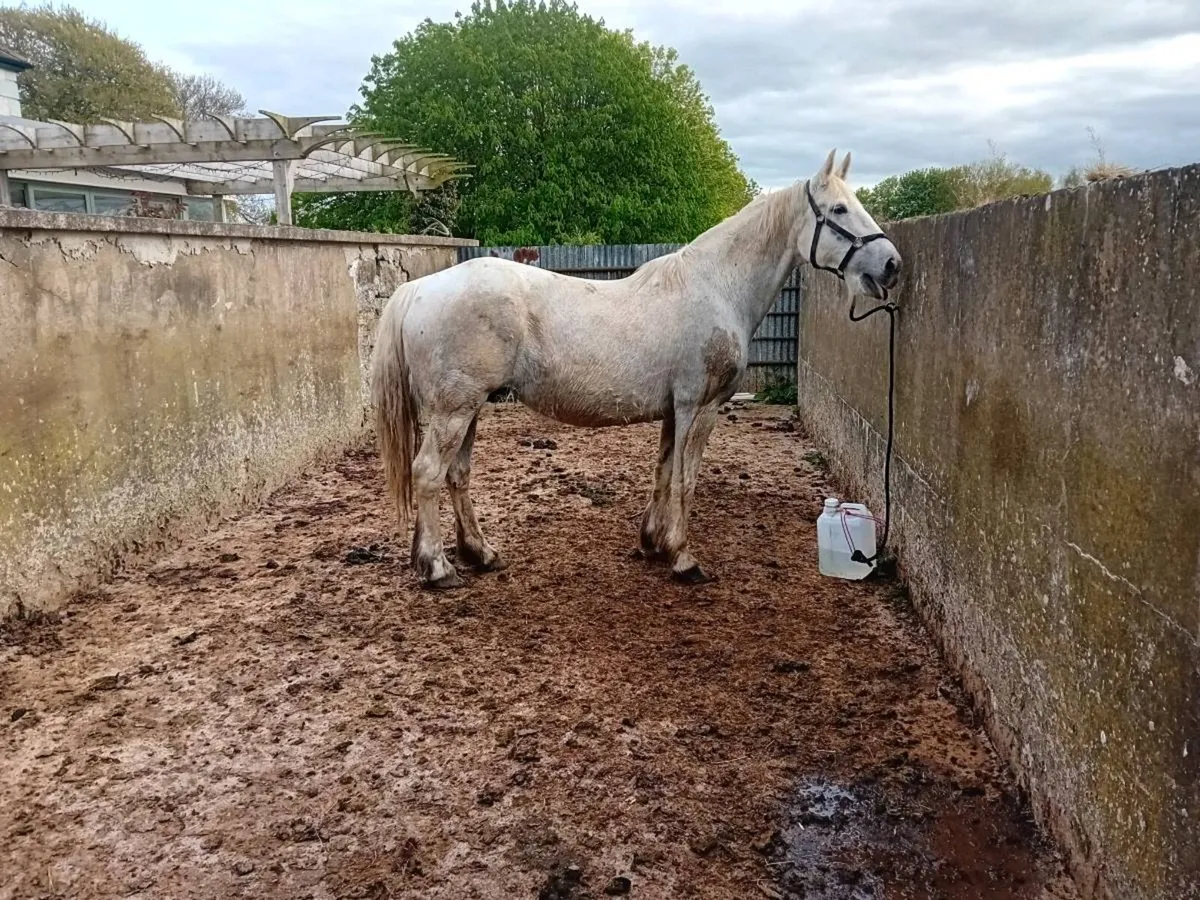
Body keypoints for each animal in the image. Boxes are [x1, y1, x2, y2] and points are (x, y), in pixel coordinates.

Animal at [370, 149, 901, 590]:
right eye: (839, 210)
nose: (892, 265)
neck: (716, 286)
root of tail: (419, 288)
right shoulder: (698, 407)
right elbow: (687, 479)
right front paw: (683, 558)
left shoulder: (673, 410)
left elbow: (664, 471)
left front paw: (653, 542)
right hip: (455, 410)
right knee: (428, 473)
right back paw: (437, 568)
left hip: (470, 409)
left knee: (456, 475)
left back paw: (478, 554)